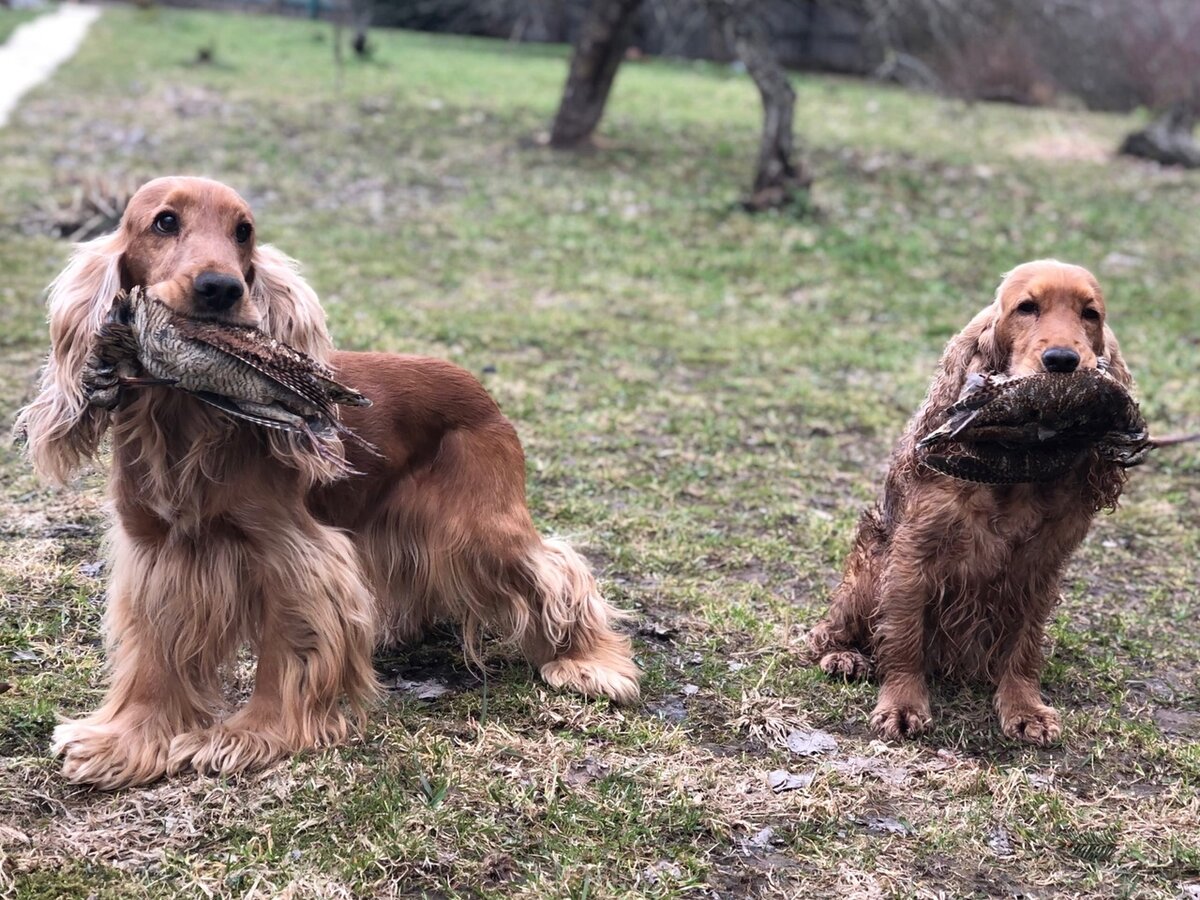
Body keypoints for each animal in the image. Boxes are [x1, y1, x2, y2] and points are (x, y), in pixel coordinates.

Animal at [16, 174, 638, 787]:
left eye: (244, 231)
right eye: (164, 221)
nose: (221, 289)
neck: (185, 416)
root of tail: (477, 385)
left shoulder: (292, 551)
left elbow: (285, 648)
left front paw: (252, 735)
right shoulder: (157, 552)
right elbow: (154, 655)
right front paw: (125, 741)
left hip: (477, 529)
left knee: (556, 567)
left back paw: (590, 663)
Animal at [806, 260, 1132, 748]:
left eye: (1090, 314)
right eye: (1026, 308)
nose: (1063, 361)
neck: (1017, 464)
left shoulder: (1043, 564)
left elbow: (1025, 645)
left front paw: (1025, 708)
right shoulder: (912, 555)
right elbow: (903, 635)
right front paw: (902, 705)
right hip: (869, 564)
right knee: (827, 630)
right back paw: (844, 657)